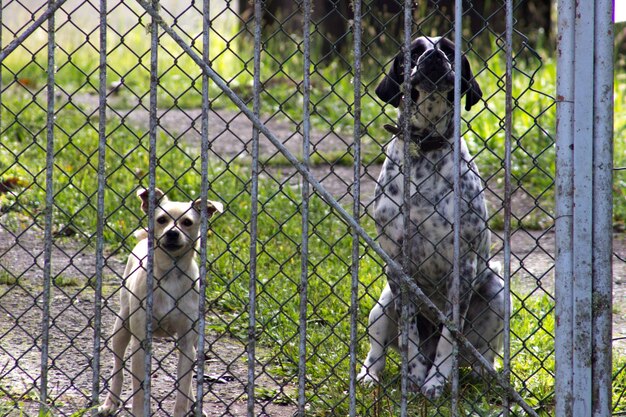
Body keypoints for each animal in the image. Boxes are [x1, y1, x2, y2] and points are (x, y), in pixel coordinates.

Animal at [98, 187, 223, 414]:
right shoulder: (140, 345)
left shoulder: (187, 344)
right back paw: (110, 403)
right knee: (118, 367)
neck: (170, 273)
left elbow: (183, 388)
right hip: (121, 326)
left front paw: (184, 408)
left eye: (187, 222)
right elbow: (139, 391)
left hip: (193, 344)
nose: (172, 233)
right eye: (162, 220)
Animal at [356, 37, 502, 398]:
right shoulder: (397, 268)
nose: (434, 56)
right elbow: (409, 337)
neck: (425, 149)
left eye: (449, 49)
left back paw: (484, 373)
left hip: (496, 290)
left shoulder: (463, 268)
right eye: (414, 50)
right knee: (378, 351)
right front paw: (414, 377)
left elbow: (450, 335)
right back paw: (369, 376)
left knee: (481, 354)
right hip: (381, 307)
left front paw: (435, 380)